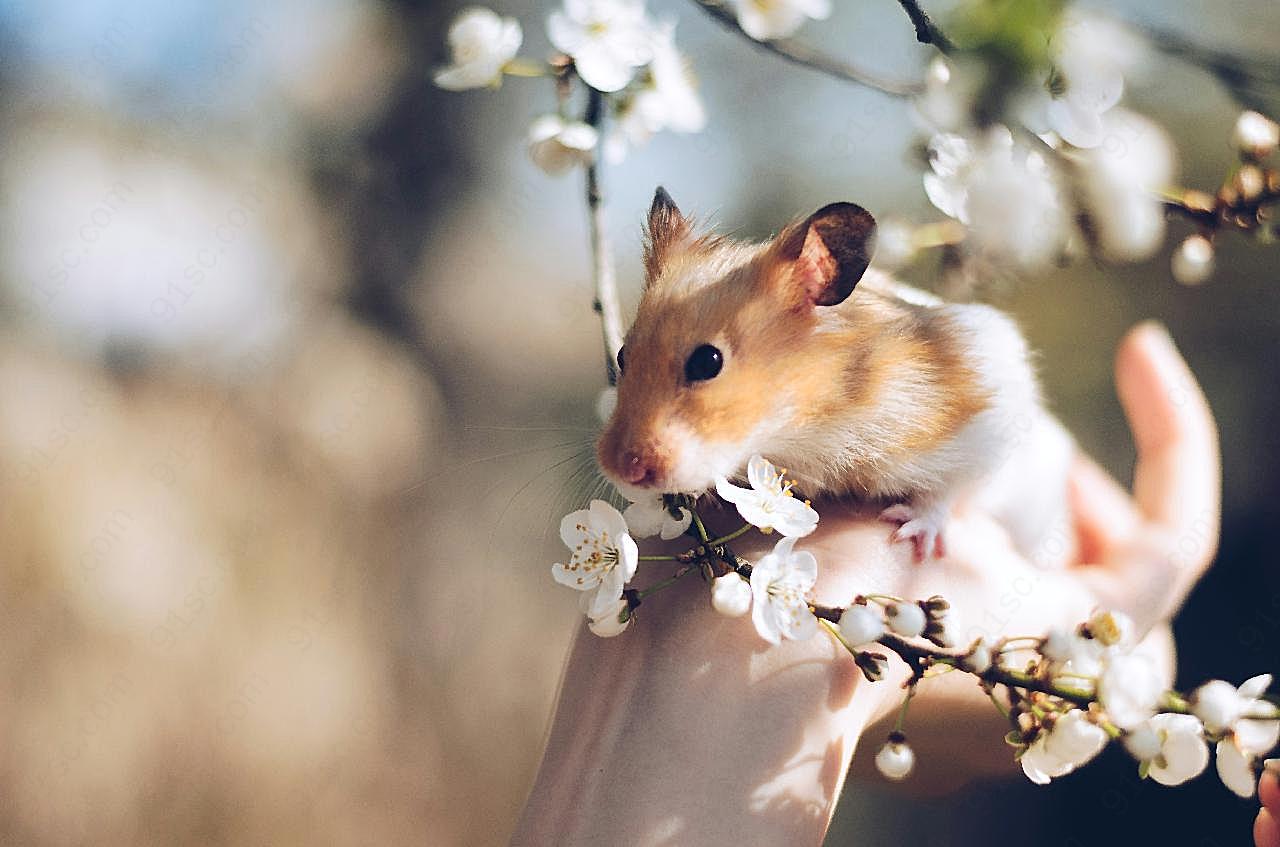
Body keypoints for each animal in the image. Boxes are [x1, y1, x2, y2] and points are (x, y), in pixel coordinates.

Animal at [593, 188, 1075, 560]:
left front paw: (910, 534)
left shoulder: (990, 408)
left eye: (707, 362)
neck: (808, 423)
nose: (622, 469)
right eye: (622, 356)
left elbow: (950, 488)